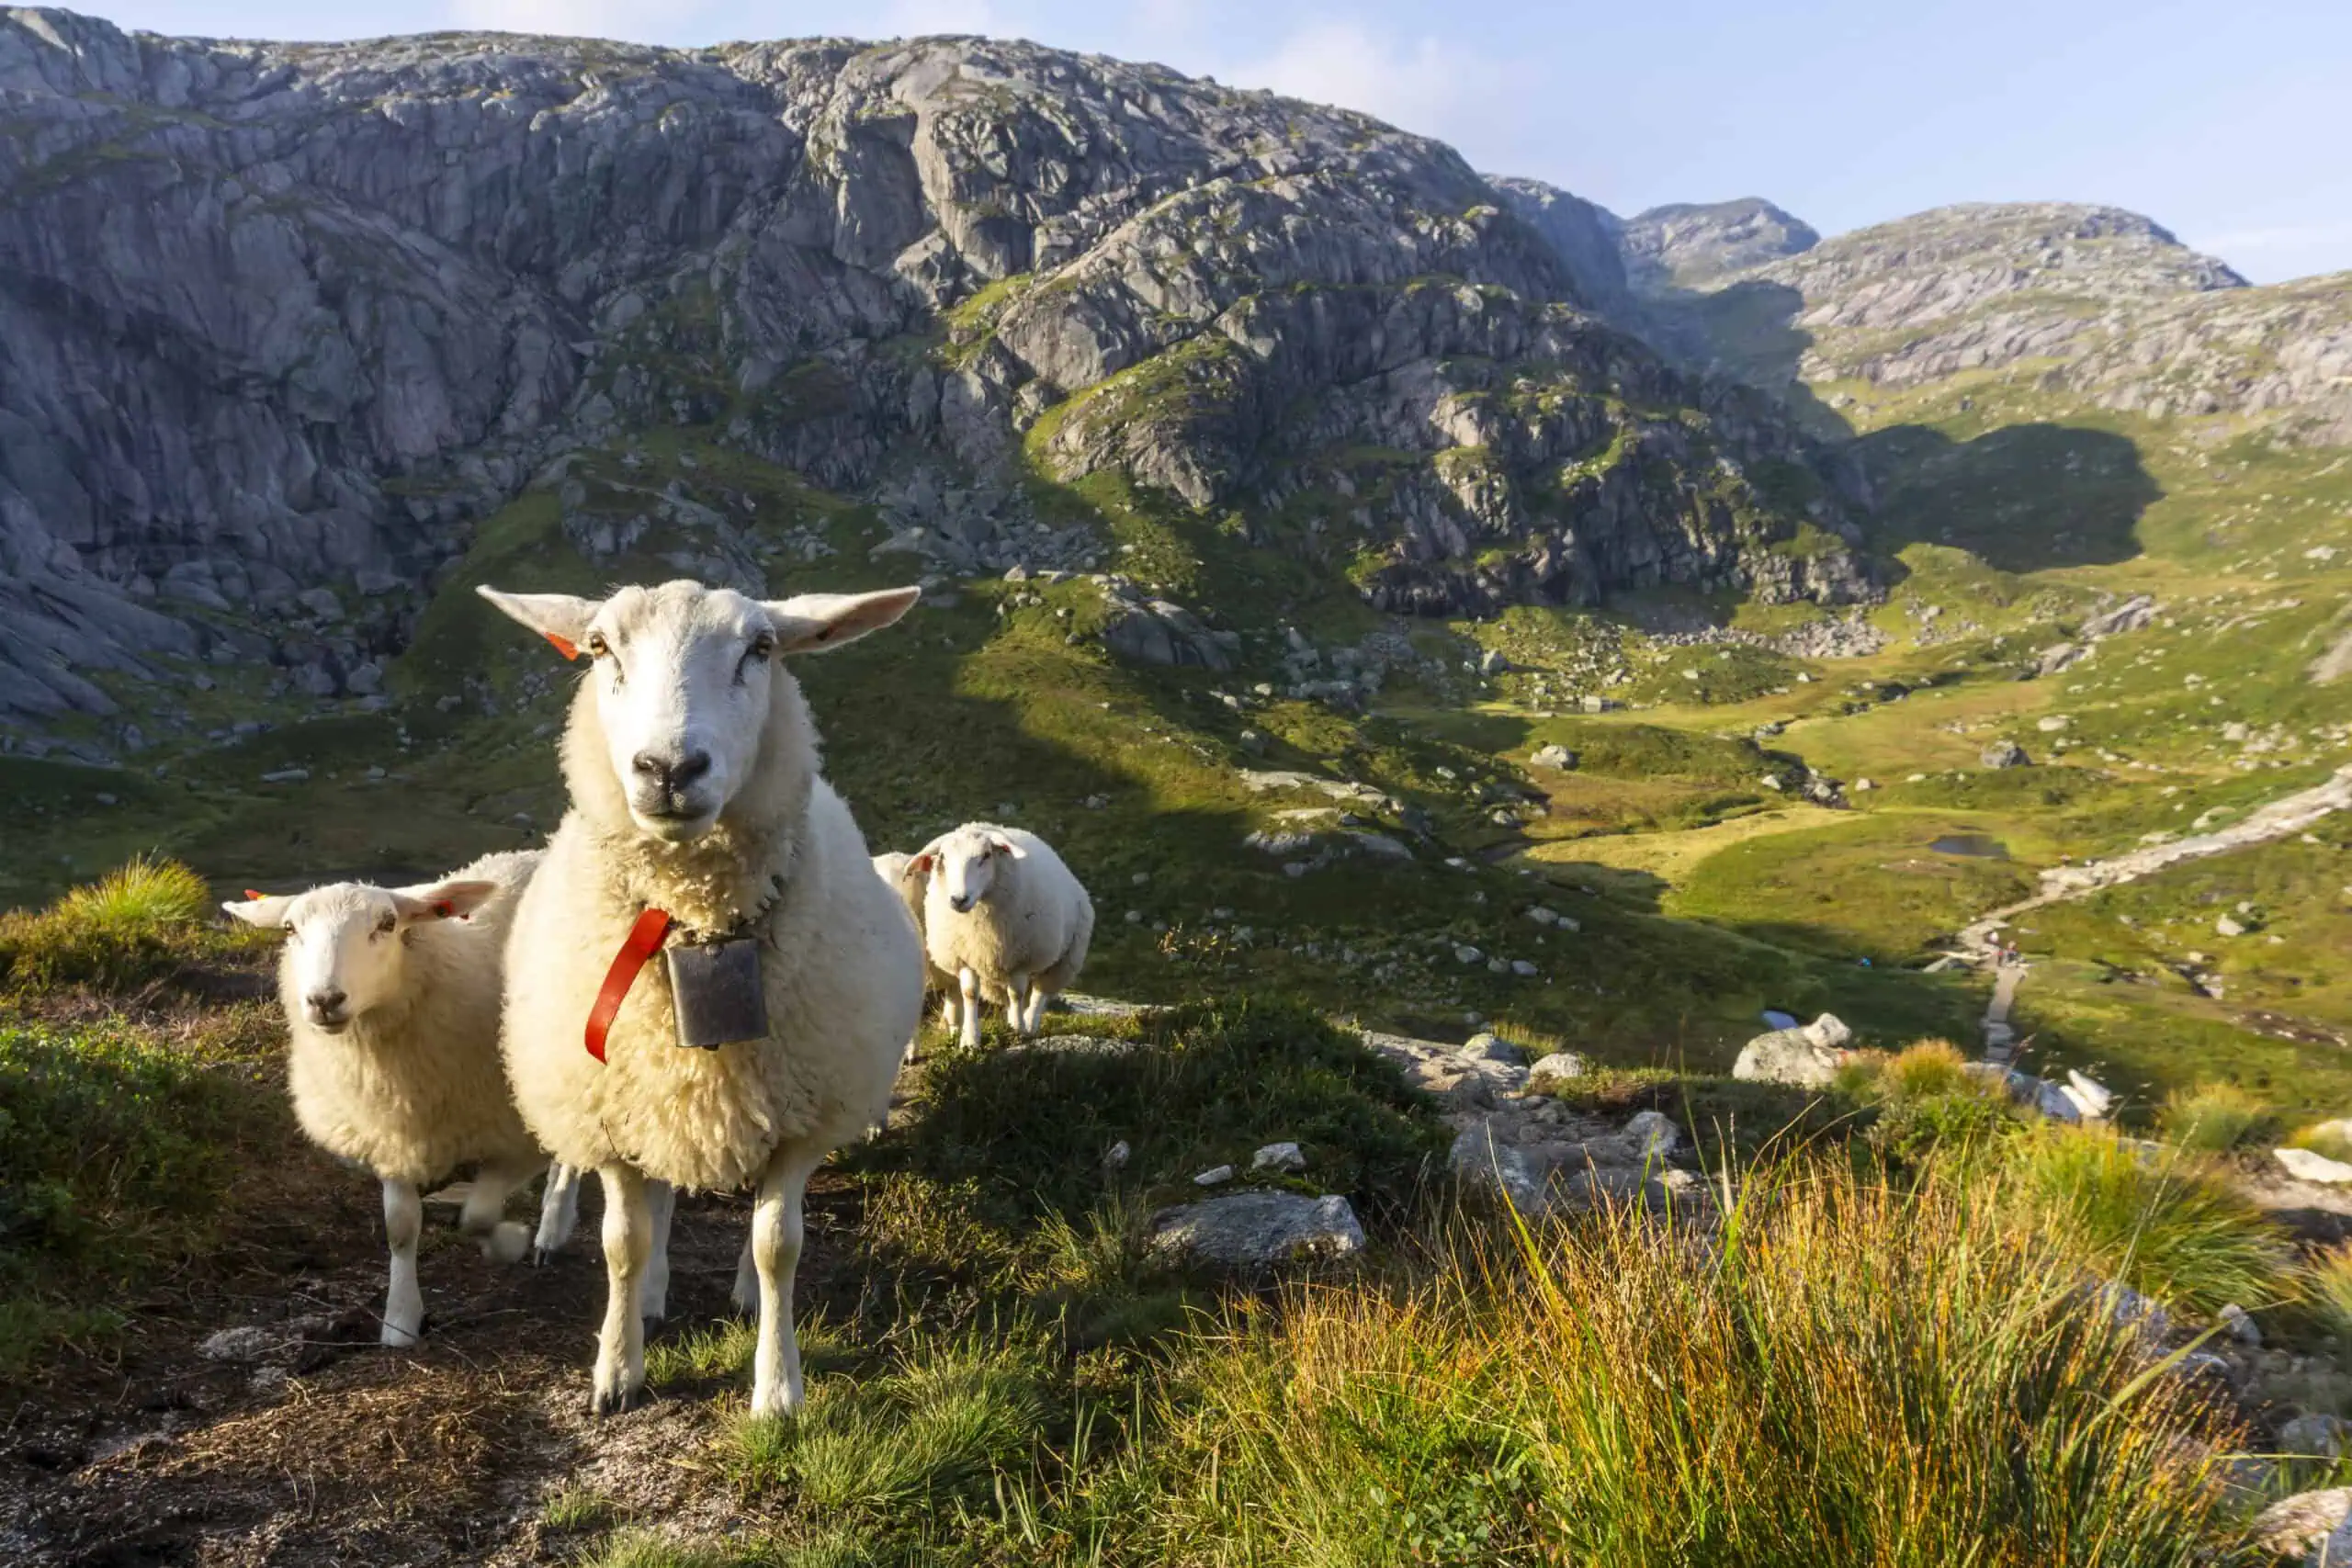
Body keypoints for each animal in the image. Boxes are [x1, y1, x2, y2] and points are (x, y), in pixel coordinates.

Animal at [220, 860, 550, 1354]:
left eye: (387, 924)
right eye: (290, 929)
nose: (324, 1000)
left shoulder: (520, 1139)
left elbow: (478, 1215)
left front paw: (508, 1241)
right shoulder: (389, 1132)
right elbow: (401, 1227)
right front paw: (400, 1318)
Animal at [472, 581, 922, 1419]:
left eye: (762, 648)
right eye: (599, 647)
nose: (669, 767)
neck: (696, 923)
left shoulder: (800, 1119)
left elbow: (779, 1244)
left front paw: (777, 1388)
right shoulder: (613, 1107)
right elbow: (623, 1240)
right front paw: (617, 1367)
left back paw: (737, 1293)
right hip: (660, 1092)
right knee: (660, 1201)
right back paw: (649, 1298)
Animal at [908, 822, 1091, 1053]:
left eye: (986, 855)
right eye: (943, 857)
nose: (959, 899)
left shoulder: (1022, 958)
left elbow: (1017, 994)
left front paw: (1019, 1030)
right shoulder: (965, 956)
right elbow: (970, 993)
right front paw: (970, 1040)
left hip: (1064, 959)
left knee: (1039, 992)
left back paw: (1029, 1024)